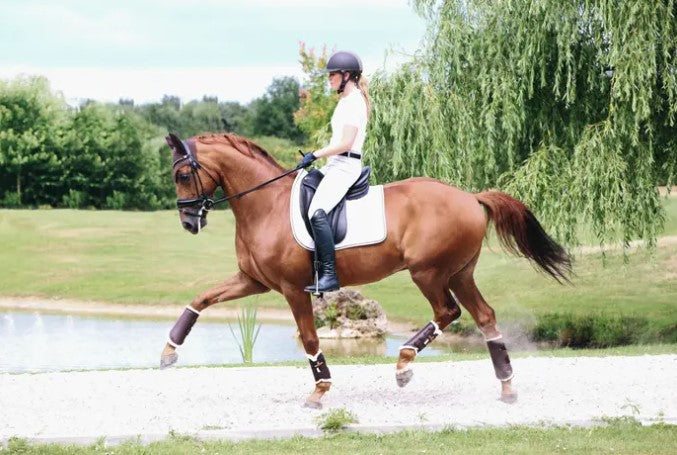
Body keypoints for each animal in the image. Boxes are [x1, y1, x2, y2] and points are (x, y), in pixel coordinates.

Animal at [161, 134, 568, 408]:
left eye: (183, 175)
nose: (188, 222)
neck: (266, 205)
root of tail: (470, 197)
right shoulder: (253, 282)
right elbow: (202, 298)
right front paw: (169, 350)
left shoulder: (292, 289)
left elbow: (310, 339)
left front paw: (319, 390)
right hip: (459, 273)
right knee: (484, 317)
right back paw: (507, 386)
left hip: (428, 273)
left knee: (447, 311)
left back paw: (404, 363)